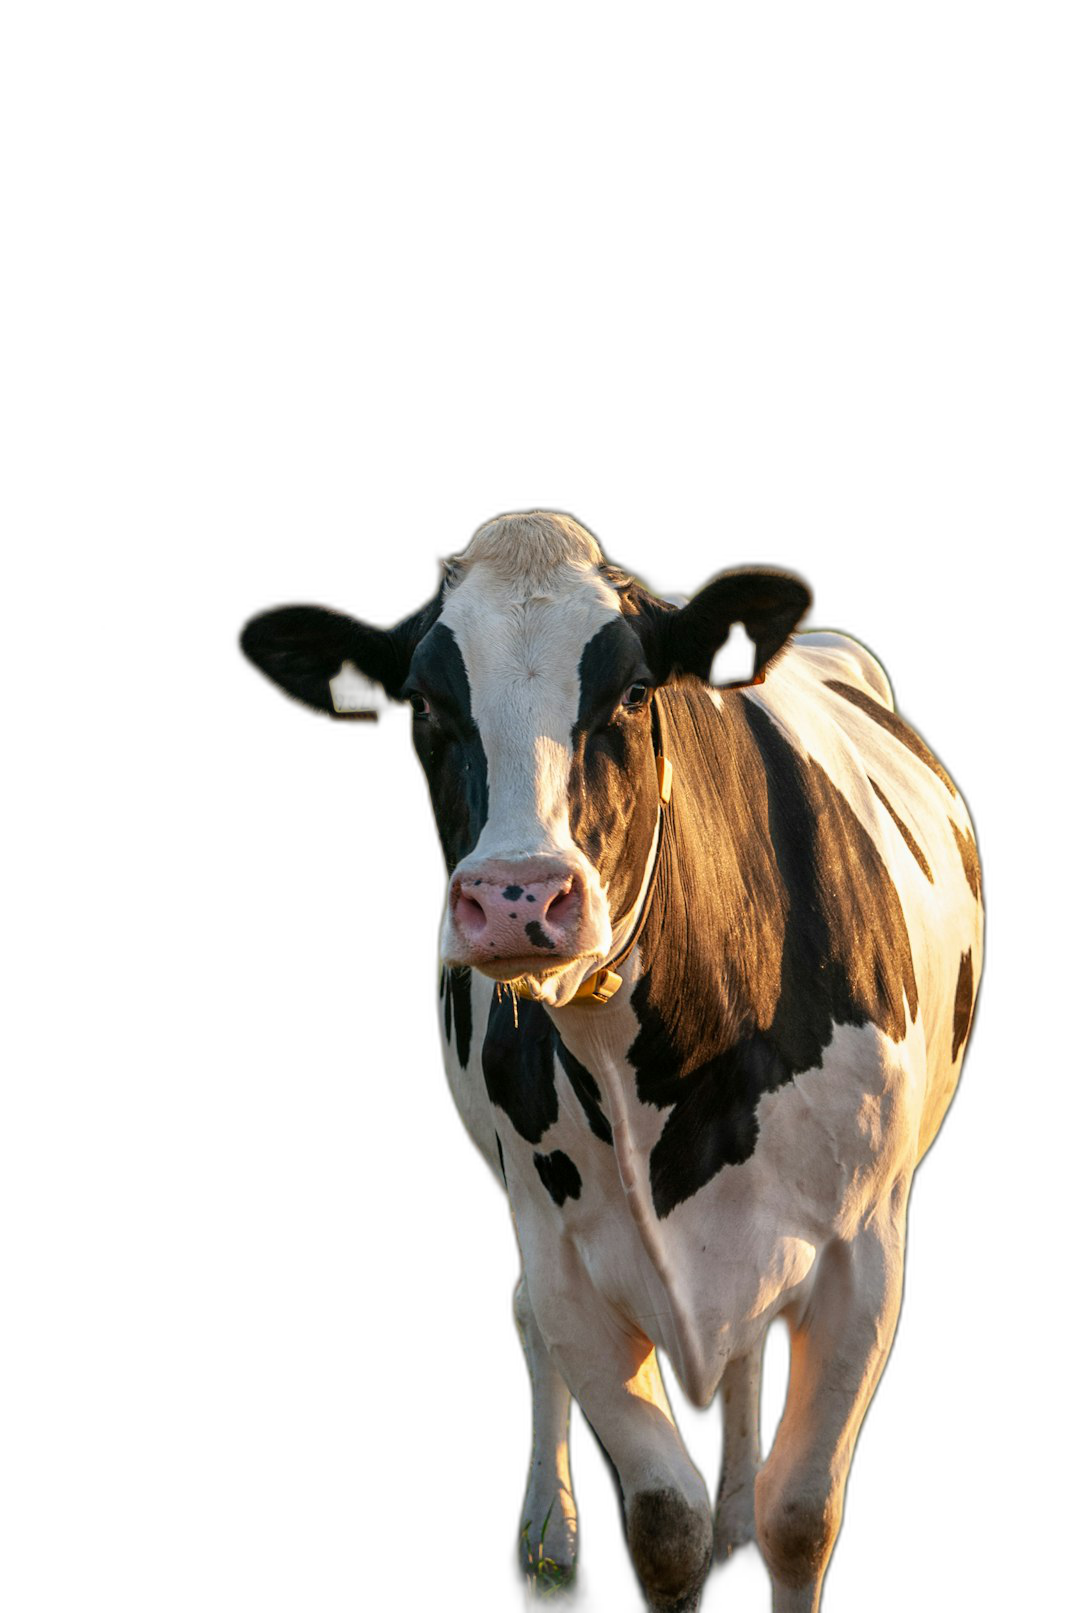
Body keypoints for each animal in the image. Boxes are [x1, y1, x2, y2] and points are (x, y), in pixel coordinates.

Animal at [238, 512, 992, 1613]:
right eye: (423, 702)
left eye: (635, 692)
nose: (517, 895)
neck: (674, 1069)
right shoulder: (567, 1257)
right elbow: (664, 1526)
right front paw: (634, 1536)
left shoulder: (866, 1247)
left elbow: (802, 1515)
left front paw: (757, 1524)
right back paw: (550, 1539)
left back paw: (738, 1516)